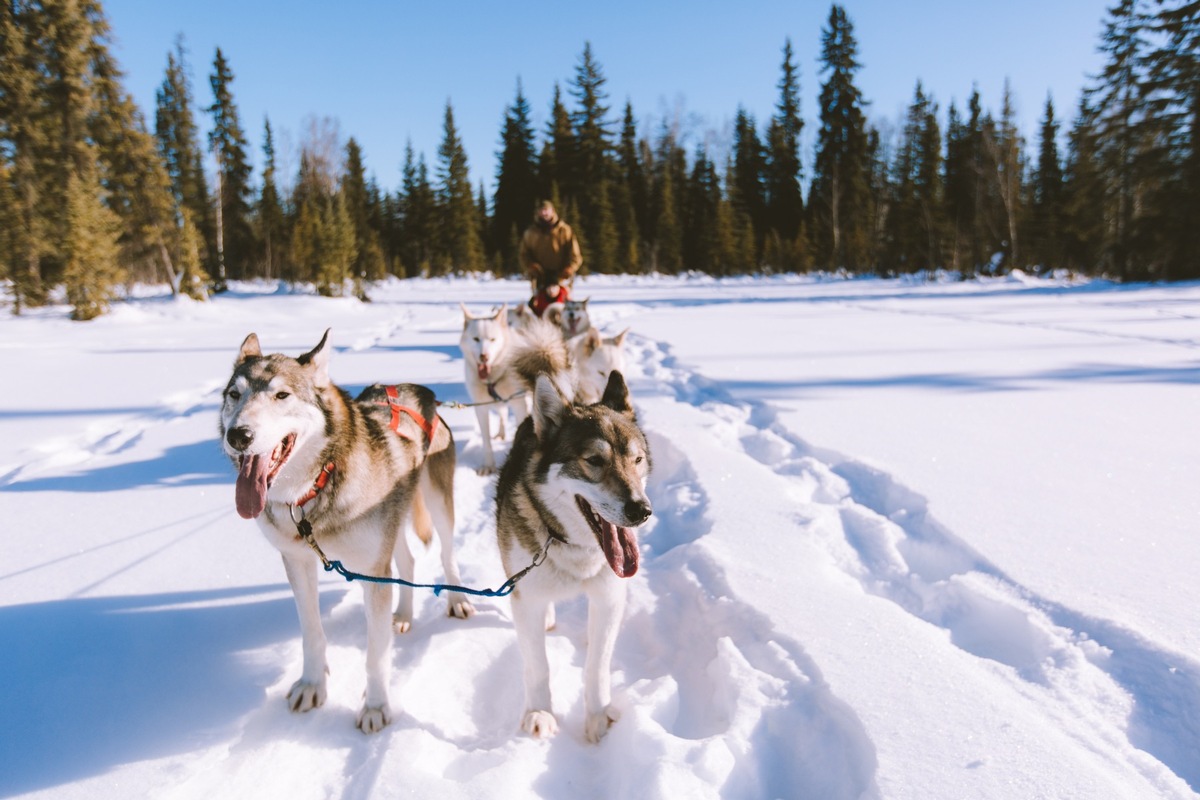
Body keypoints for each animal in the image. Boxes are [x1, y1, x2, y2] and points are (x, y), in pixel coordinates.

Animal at [220, 331, 472, 734]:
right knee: (407, 561)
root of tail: (415, 389)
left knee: (447, 554)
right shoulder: (298, 562)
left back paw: (457, 599)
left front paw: (376, 706)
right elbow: (311, 633)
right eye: (234, 394)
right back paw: (403, 614)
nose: (238, 435)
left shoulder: (372, 571)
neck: (314, 488)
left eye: (282, 395)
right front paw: (312, 685)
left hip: (436, 501)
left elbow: (376, 653)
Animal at [458, 303, 571, 472]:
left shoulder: (519, 404)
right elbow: (486, 440)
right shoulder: (481, 408)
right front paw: (488, 465)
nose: (484, 357)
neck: (493, 378)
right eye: (476, 339)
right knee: (502, 413)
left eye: (492, 339)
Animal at [492, 362, 652, 743]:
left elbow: (597, 665)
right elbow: (538, 665)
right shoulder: (527, 599)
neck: (572, 545)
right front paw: (539, 712)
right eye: (593, 460)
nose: (641, 510)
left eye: (637, 459)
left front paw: (598, 715)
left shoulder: (609, 597)